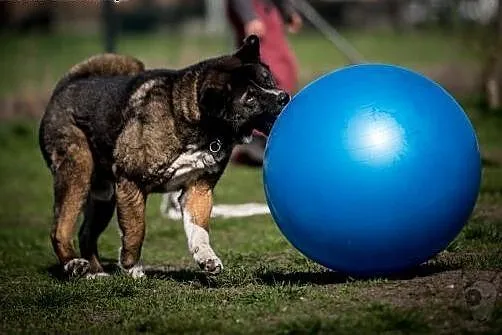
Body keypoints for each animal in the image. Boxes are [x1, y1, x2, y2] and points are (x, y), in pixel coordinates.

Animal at [38, 35, 290, 280]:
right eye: (250, 98)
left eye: (268, 80)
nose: (283, 97)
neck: (196, 120)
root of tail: (66, 85)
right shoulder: (130, 182)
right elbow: (136, 229)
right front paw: (131, 267)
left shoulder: (198, 189)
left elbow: (199, 229)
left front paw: (207, 259)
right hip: (78, 170)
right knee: (60, 229)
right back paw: (74, 264)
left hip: (104, 195)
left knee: (86, 233)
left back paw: (95, 273)